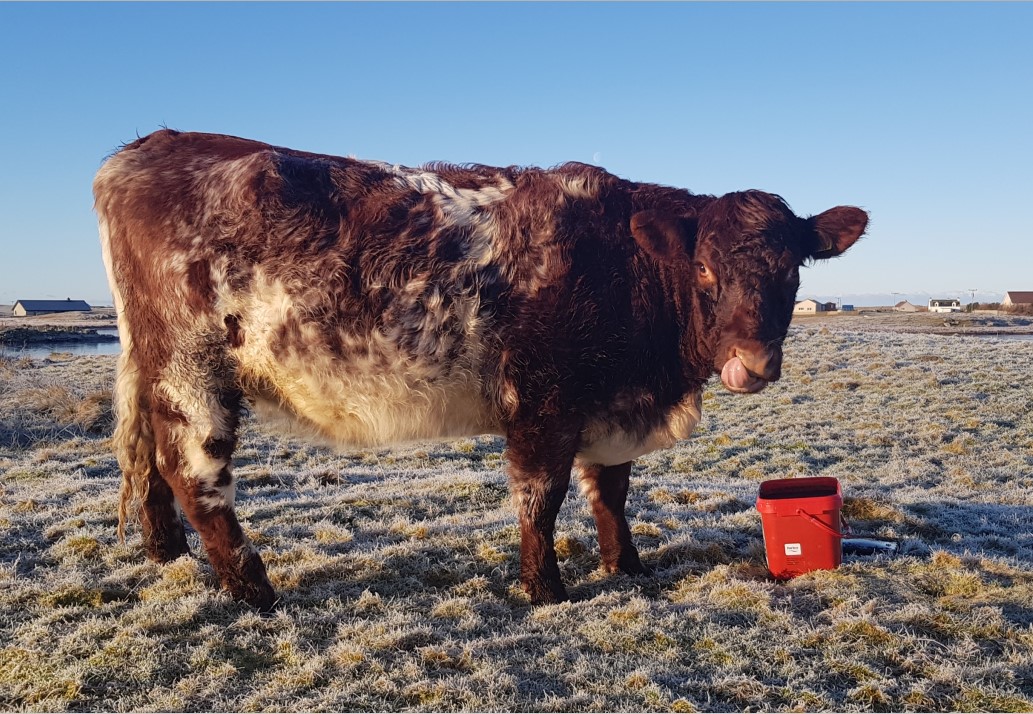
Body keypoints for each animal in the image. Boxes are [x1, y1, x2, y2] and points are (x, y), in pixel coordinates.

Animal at [92, 128, 863, 607]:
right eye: (704, 268)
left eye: (792, 270)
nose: (752, 363)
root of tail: (146, 148)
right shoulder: (545, 404)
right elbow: (541, 498)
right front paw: (546, 590)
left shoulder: (608, 404)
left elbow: (610, 493)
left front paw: (626, 567)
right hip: (192, 372)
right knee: (195, 475)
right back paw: (255, 591)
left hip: (156, 368)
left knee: (151, 463)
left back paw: (168, 555)